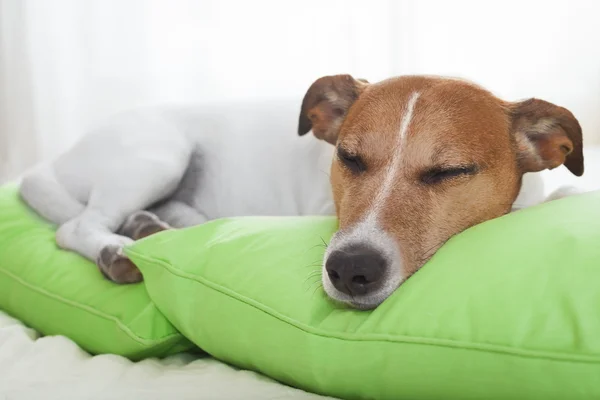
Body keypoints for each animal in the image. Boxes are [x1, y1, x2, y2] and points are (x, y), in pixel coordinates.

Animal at [21, 76, 584, 312]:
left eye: (450, 172)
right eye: (349, 159)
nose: (351, 270)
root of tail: (52, 163)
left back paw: (150, 226)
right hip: (159, 152)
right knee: (75, 225)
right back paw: (117, 249)